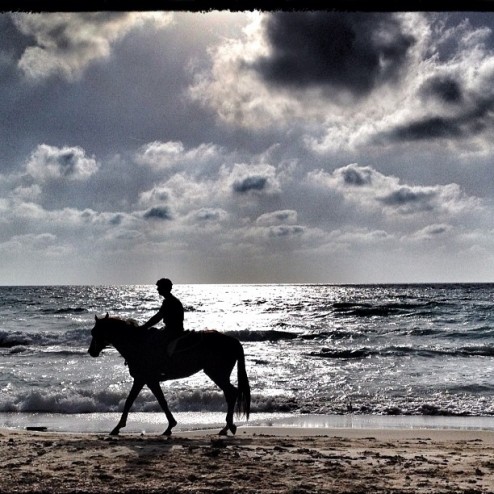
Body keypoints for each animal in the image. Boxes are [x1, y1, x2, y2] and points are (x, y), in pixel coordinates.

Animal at [87, 314, 251, 434]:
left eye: (95, 332)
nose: (91, 352)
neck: (137, 344)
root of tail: (233, 340)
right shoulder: (146, 380)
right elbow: (154, 400)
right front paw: (170, 425)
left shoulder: (145, 379)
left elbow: (137, 401)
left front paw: (117, 427)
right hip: (218, 374)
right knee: (230, 393)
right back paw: (227, 427)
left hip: (217, 373)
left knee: (231, 393)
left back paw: (228, 426)